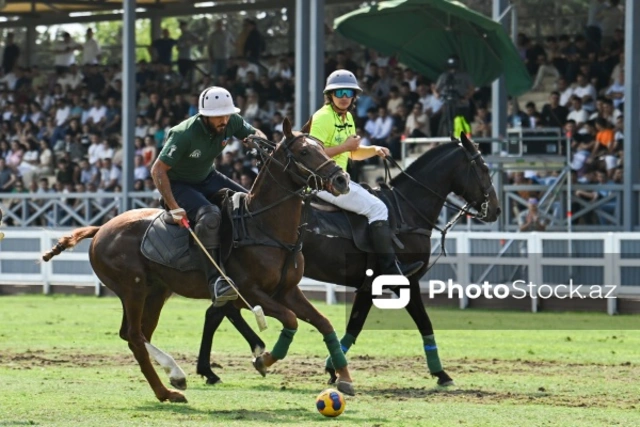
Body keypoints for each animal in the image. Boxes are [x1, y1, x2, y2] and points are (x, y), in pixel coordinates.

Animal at [41, 118, 356, 404]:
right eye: (304, 152)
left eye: (322, 147)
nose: (342, 180)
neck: (265, 226)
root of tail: (101, 229)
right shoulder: (250, 292)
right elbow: (289, 319)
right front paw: (264, 359)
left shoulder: (288, 291)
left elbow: (324, 323)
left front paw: (344, 378)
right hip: (133, 288)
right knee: (134, 336)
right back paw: (168, 389)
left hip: (157, 290)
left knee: (136, 333)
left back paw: (175, 377)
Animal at [198, 135, 502, 388]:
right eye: (484, 168)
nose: (496, 210)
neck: (406, 211)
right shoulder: (404, 281)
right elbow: (422, 323)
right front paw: (441, 374)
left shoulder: (368, 287)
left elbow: (354, 326)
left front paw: (333, 368)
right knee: (221, 310)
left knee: (221, 310)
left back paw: (223, 364)